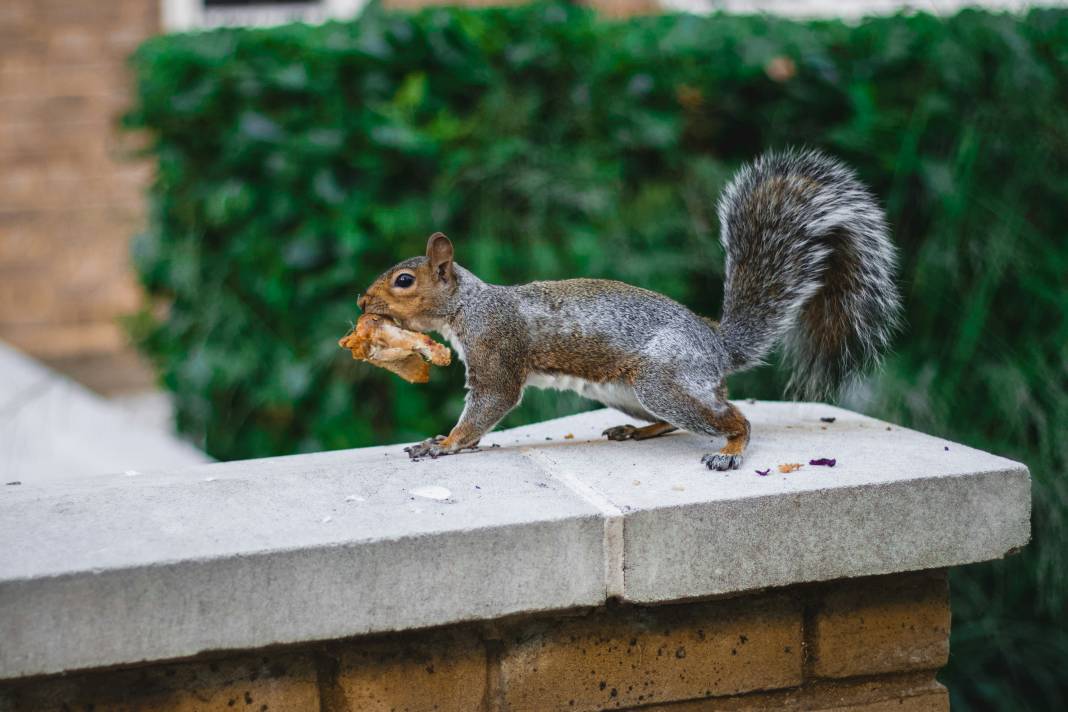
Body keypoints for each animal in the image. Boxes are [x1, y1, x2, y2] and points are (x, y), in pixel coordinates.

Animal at [358, 148, 901, 469]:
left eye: (404, 281)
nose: (363, 302)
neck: (471, 305)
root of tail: (716, 343)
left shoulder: (497, 348)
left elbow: (490, 402)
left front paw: (445, 443)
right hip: (628, 391)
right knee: (680, 418)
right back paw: (636, 430)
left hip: (663, 380)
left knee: (733, 417)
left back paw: (729, 448)